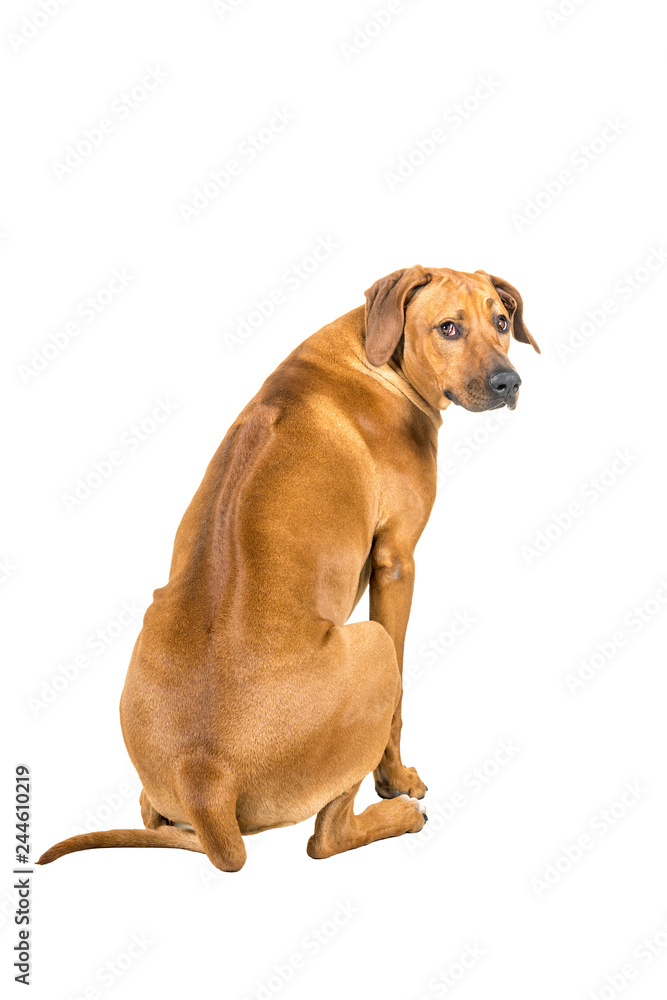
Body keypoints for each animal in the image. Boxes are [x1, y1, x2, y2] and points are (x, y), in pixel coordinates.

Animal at [39, 270, 536, 872]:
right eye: (448, 328)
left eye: (502, 321)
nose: (509, 382)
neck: (372, 351)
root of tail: (207, 779)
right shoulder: (397, 562)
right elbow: (398, 706)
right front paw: (395, 779)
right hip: (371, 648)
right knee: (325, 839)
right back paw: (393, 816)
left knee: (149, 812)